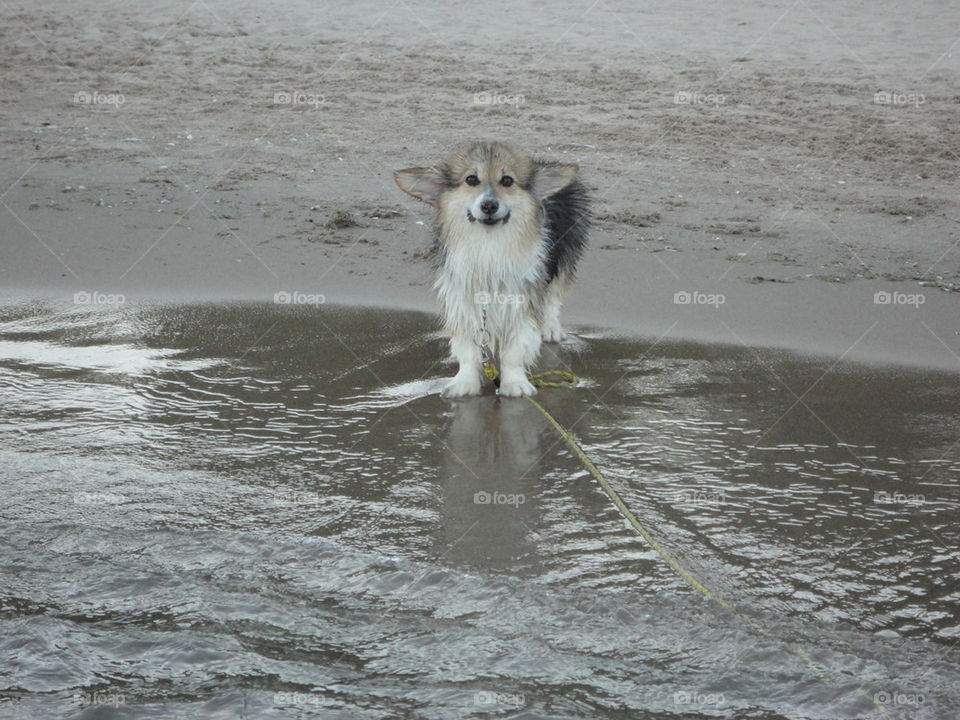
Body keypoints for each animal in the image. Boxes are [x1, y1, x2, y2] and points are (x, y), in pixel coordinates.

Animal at [394, 141, 588, 400]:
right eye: (471, 179)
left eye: (507, 180)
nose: (489, 205)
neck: (489, 245)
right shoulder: (463, 302)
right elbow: (468, 350)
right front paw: (464, 383)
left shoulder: (522, 302)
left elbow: (515, 350)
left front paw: (515, 384)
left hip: (564, 258)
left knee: (553, 298)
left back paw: (551, 329)